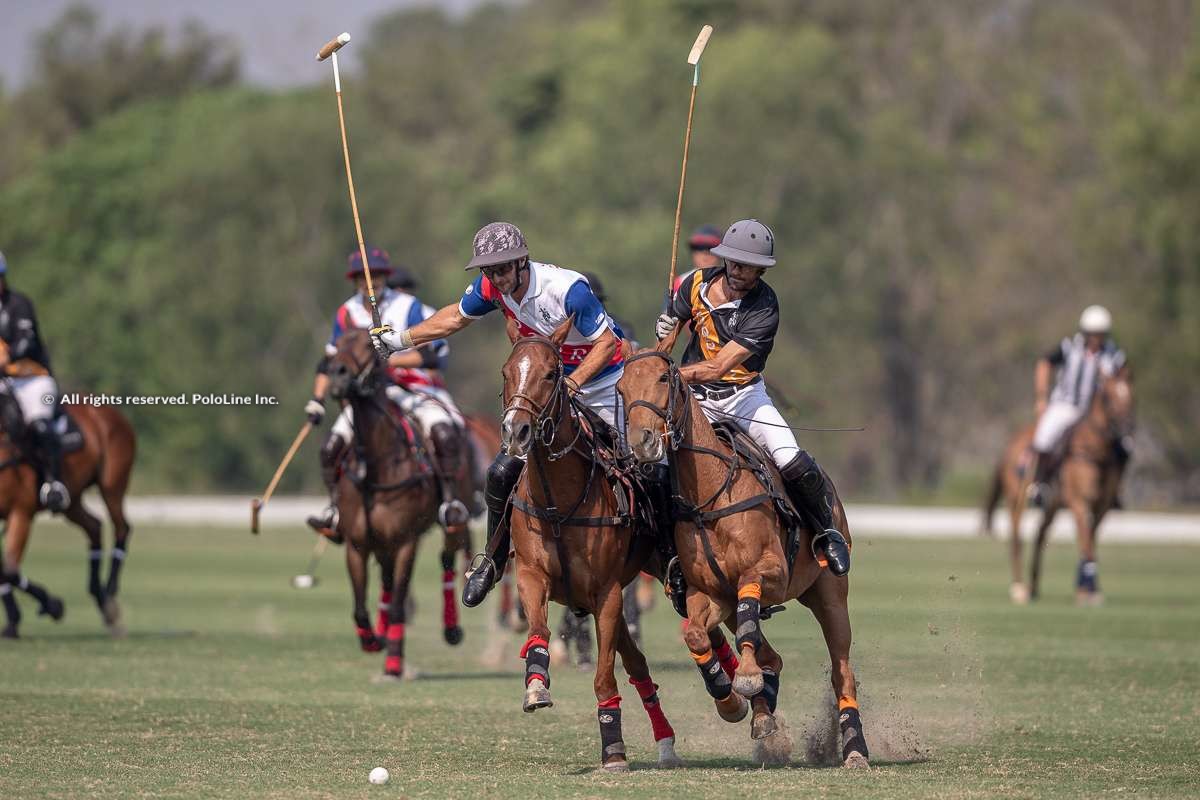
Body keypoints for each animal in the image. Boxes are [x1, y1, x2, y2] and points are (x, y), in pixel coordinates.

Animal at [0, 388, 136, 638]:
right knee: (94, 526)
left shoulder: (21, 513)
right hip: (71, 500)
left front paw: (53, 605)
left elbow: (8, 568)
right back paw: (100, 597)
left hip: (112, 484)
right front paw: (13, 622)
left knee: (122, 527)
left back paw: (110, 600)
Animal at [324, 328, 446, 671]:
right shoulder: (357, 544)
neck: (379, 466)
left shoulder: (406, 541)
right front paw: (371, 641)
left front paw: (392, 659)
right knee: (387, 587)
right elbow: (359, 606)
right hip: (381, 545)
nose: (337, 374)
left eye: (368, 345)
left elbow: (399, 605)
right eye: (338, 344)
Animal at [496, 316, 681, 767]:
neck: (558, 502)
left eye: (551, 374)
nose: (516, 430)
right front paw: (536, 686)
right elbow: (539, 631)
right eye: (507, 373)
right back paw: (667, 740)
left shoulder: (608, 593)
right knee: (639, 666)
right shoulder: (532, 576)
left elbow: (603, 677)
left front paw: (613, 748)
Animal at [624, 347, 868, 767]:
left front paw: (748, 678)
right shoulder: (709, 593)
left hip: (830, 594)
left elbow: (748, 621)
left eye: (663, 378)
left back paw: (855, 751)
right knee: (774, 655)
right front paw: (731, 701)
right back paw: (763, 715)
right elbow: (696, 635)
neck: (710, 497)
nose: (642, 443)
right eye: (621, 387)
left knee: (842, 671)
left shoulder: (767, 571)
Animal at [984, 371, 1132, 604]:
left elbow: (1090, 541)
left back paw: (1034, 587)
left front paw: (1088, 588)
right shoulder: (1079, 501)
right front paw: (1086, 590)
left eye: (1131, 394)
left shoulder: (1102, 506)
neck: (1094, 452)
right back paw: (1018, 588)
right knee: (1016, 539)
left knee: (1039, 535)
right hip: (1016, 499)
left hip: (1051, 506)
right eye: (1107, 397)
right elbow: (1085, 540)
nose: (1127, 426)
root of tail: (1009, 445)